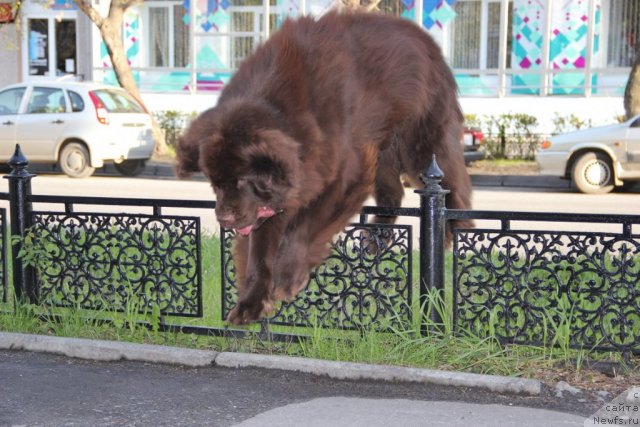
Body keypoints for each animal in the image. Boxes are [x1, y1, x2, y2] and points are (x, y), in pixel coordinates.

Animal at [174, 11, 470, 326]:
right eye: (215, 184)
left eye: (242, 180)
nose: (223, 218)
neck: (284, 112)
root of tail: (430, 44)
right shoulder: (276, 200)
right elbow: (260, 254)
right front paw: (251, 304)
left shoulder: (342, 176)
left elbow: (303, 228)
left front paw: (287, 277)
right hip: (383, 145)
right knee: (393, 193)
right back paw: (376, 239)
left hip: (421, 142)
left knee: (453, 185)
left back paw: (454, 234)